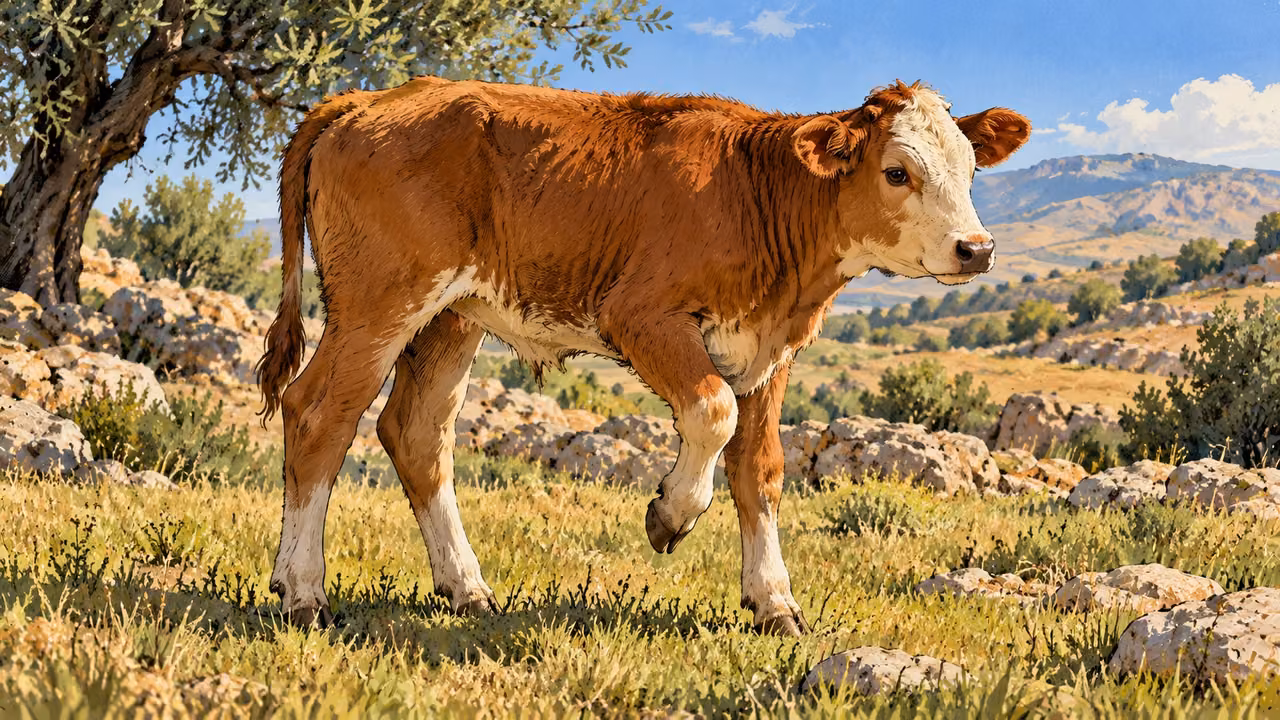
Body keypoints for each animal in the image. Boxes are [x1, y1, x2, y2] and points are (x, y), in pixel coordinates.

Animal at [256, 76, 1029, 635]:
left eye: (969, 169)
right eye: (898, 172)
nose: (977, 248)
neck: (754, 192)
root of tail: (367, 100)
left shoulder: (770, 353)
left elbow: (760, 473)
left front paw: (773, 601)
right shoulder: (642, 317)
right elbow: (711, 414)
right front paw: (670, 516)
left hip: (449, 318)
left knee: (416, 435)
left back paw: (467, 588)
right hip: (377, 305)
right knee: (319, 414)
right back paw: (302, 593)